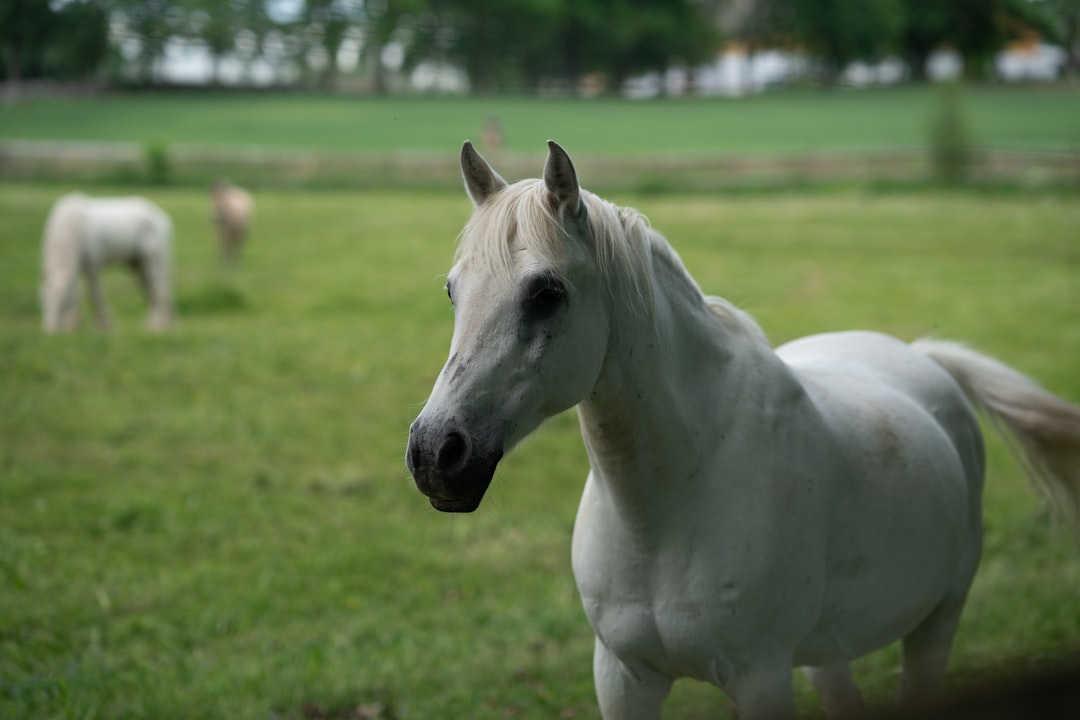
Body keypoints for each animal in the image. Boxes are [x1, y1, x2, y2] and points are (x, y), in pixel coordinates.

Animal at [40, 194, 174, 334]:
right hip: (139, 266)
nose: (51, 330)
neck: (70, 227)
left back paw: (160, 326)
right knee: (151, 291)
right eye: (43, 300)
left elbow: (95, 293)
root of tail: (160, 216)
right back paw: (151, 325)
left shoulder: (92, 266)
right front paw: (74, 324)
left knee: (160, 291)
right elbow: (78, 292)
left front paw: (103, 323)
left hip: (154, 262)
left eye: (64, 302)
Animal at [406, 142, 1080, 720]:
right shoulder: (623, 677)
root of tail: (926, 359)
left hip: (936, 623)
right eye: (452, 291)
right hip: (827, 653)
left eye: (547, 294)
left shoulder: (760, 676)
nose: (435, 453)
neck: (670, 505)